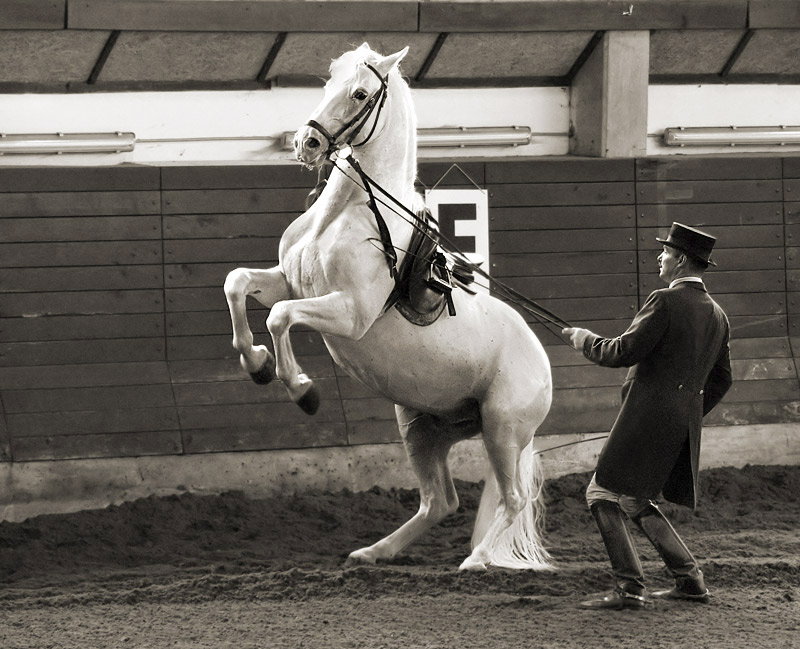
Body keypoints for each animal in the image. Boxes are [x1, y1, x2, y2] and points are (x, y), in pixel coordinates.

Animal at [222, 43, 552, 568]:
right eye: (329, 80)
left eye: (360, 93)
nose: (306, 143)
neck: (348, 213)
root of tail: (543, 366)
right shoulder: (288, 284)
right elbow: (237, 284)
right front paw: (256, 364)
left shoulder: (348, 313)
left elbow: (279, 318)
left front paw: (302, 389)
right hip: (421, 427)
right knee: (440, 502)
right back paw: (374, 552)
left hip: (502, 429)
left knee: (513, 499)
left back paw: (476, 559)